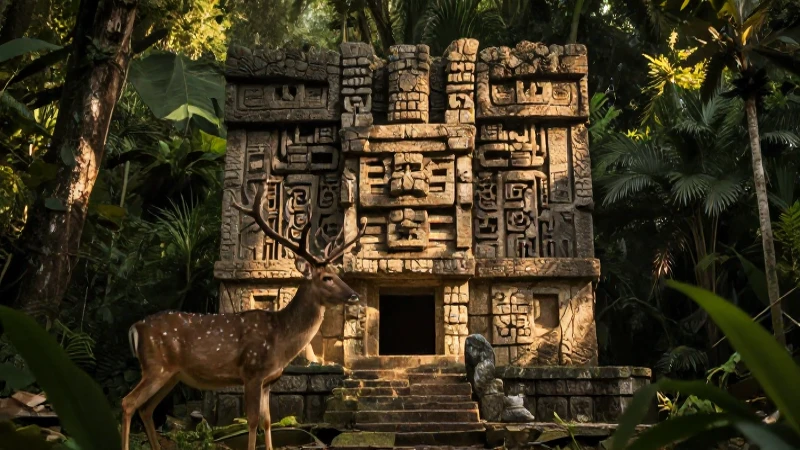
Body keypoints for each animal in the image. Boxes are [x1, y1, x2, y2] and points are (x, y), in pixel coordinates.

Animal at [120, 174, 367, 450]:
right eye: (326, 278)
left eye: (336, 273)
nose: (354, 295)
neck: (280, 339)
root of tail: (135, 328)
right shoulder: (251, 371)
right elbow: (252, 421)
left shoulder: (268, 381)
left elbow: (269, 421)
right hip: (156, 366)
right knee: (128, 403)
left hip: (172, 374)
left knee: (147, 409)